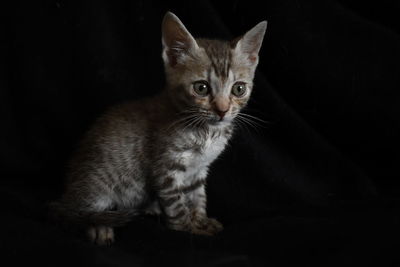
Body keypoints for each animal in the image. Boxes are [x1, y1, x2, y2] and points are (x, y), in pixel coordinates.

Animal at [50, 12, 268, 246]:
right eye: (201, 88)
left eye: (239, 89)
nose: (222, 110)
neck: (206, 131)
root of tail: (67, 196)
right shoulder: (166, 169)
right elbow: (177, 207)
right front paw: (188, 230)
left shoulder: (198, 170)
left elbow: (197, 198)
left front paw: (201, 220)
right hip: (97, 182)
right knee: (81, 213)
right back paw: (99, 226)